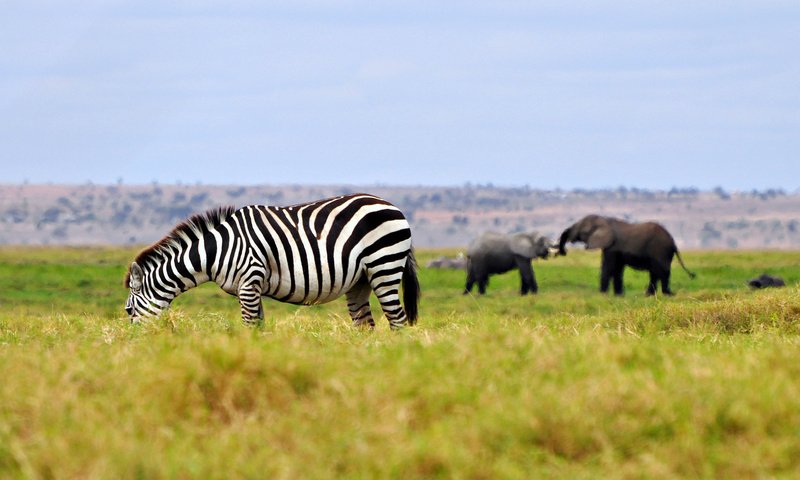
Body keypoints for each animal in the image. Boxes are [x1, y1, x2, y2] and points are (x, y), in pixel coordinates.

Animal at [123, 193, 418, 328]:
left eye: (128, 310)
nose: (135, 343)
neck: (217, 251)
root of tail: (391, 205)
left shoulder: (248, 283)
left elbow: (249, 326)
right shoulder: (250, 288)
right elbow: (259, 327)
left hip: (384, 266)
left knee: (397, 320)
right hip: (360, 280)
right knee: (365, 325)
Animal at [556, 215, 692, 296]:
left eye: (583, 232)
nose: (563, 252)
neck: (604, 220)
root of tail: (673, 242)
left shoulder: (612, 247)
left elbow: (608, 268)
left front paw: (602, 294)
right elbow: (617, 270)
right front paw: (619, 295)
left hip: (660, 250)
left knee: (661, 271)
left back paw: (665, 294)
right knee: (656, 272)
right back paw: (652, 295)